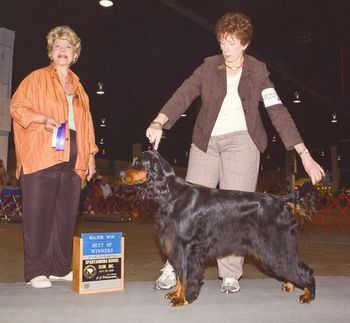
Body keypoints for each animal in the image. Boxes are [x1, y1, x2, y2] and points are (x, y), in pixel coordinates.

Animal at [120, 151, 320, 308]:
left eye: (138, 162)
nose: (121, 173)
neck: (172, 194)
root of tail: (282, 200)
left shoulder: (186, 247)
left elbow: (184, 274)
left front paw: (182, 298)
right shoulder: (175, 246)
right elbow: (179, 275)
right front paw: (176, 293)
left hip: (276, 244)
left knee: (303, 269)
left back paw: (307, 294)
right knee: (291, 265)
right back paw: (290, 285)